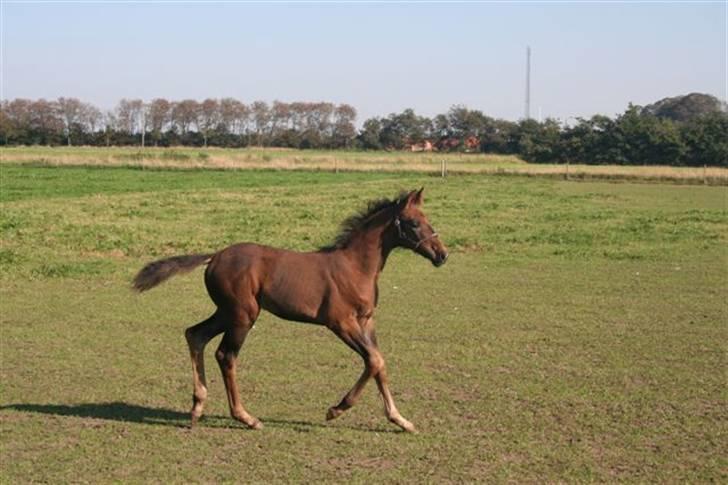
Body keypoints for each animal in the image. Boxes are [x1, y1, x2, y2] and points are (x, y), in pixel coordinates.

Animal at [134, 186, 446, 432]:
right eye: (413, 223)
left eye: (427, 219)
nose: (441, 255)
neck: (355, 267)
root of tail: (214, 257)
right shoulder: (341, 322)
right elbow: (374, 360)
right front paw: (336, 410)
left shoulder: (367, 322)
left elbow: (379, 363)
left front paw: (401, 420)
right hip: (243, 315)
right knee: (225, 355)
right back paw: (246, 417)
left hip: (227, 312)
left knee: (195, 334)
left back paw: (197, 408)